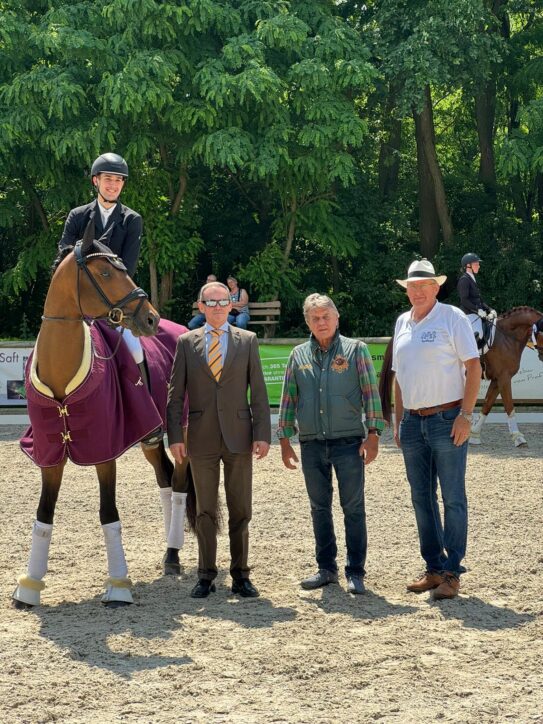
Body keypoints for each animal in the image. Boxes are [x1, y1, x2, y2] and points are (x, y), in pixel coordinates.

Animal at [12, 223, 197, 608]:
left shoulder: (104, 449)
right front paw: (29, 587)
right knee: (164, 480)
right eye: (107, 273)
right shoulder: (50, 455)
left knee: (178, 485)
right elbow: (43, 513)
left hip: (182, 429)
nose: (150, 318)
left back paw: (173, 553)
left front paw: (119, 586)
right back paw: (168, 554)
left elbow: (108, 512)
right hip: (150, 437)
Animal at [380, 304, 543, 446]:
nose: (542, 357)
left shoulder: (497, 379)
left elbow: (487, 405)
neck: (507, 336)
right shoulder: (504, 377)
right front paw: (518, 437)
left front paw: (474, 434)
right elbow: (509, 406)